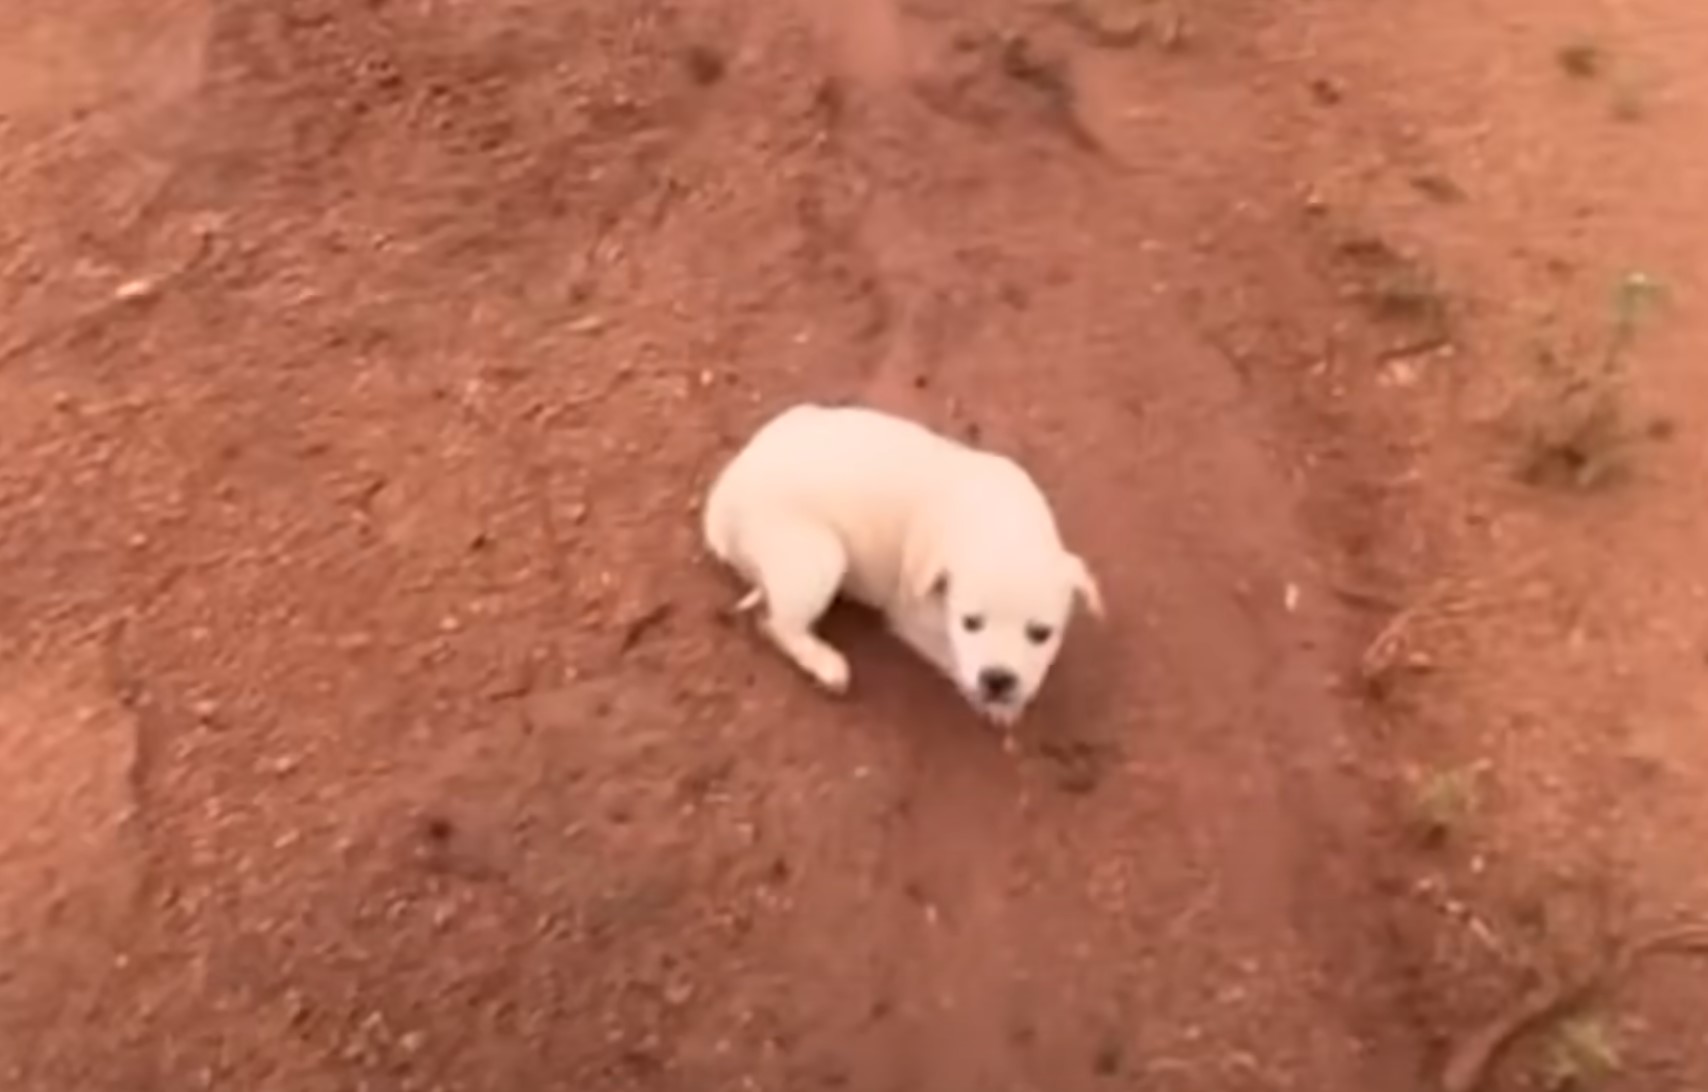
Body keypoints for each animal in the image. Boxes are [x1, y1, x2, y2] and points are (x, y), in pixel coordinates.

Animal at [700, 401, 1099, 724]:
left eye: (1041, 633)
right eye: (969, 623)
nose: (998, 679)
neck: (1002, 527)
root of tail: (721, 500)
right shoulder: (912, 616)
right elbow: (953, 656)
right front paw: (998, 705)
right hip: (819, 557)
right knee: (777, 624)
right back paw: (826, 664)